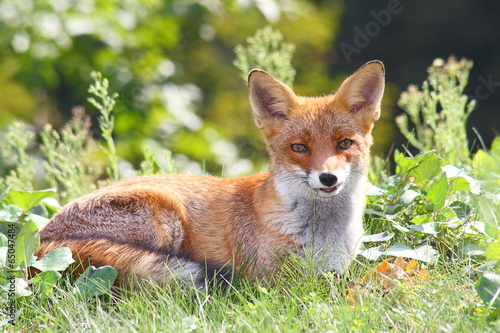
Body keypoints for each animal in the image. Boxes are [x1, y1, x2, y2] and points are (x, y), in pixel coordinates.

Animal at [37, 61, 384, 286]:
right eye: (299, 148)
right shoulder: (270, 281)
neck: (322, 235)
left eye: (344, 144)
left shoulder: (336, 270)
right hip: (164, 217)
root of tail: (43, 240)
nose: (328, 178)